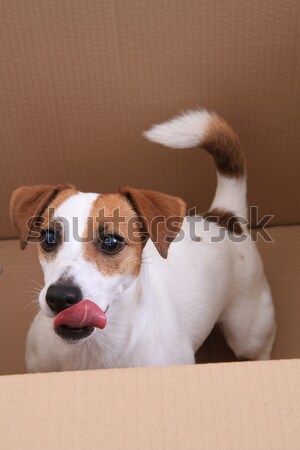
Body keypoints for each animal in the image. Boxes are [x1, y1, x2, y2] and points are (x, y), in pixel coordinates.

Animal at [10, 110, 276, 372]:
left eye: (111, 242)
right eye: (48, 238)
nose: (60, 296)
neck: (91, 354)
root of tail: (225, 216)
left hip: (247, 332)